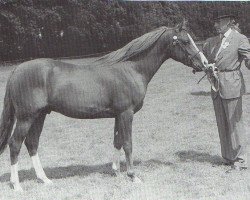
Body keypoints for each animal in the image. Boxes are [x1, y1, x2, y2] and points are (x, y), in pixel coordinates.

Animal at [0, 19, 207, 191]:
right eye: (185, 41)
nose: (204, 64)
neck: (131, 69)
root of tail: (17, 70)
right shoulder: (126, 113)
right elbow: (128, 143)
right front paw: (133, 176)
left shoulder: (118, 115)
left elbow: (117, 141)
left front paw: (116, 171)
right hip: (26, 117)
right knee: (15, 144)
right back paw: (16, 185)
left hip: (40, 115)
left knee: (32, 143)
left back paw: (44, 179)